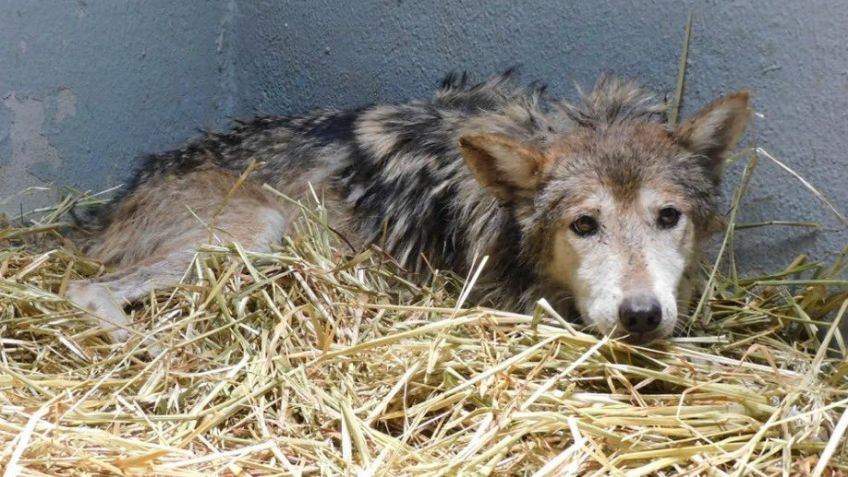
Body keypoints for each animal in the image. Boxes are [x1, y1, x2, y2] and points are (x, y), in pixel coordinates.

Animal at [69, 70, 752, 348]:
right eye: (584, 225)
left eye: (668, 218)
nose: (642, 314)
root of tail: (115, 201)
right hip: (254, 228)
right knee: (84, 289)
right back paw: (149, 348)